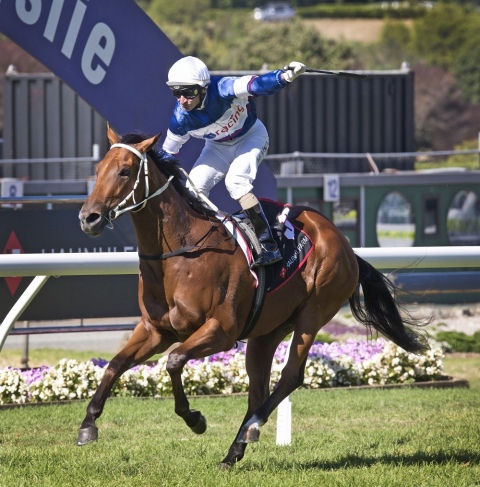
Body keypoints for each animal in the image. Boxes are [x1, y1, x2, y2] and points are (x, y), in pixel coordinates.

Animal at [78, 124, 428, 468]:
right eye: (98, 169)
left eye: (125, 171)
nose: (88, 217)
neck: (180, 253)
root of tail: (345, 245)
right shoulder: (156, 330)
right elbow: (115, 364)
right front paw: (88, 425)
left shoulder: (221, 331)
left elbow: (174, 361)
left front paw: (194, 418)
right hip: (267, 331)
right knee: (258, 388)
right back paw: (234, 450)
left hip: (313, 313)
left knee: (290, 376)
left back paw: (252, 428)